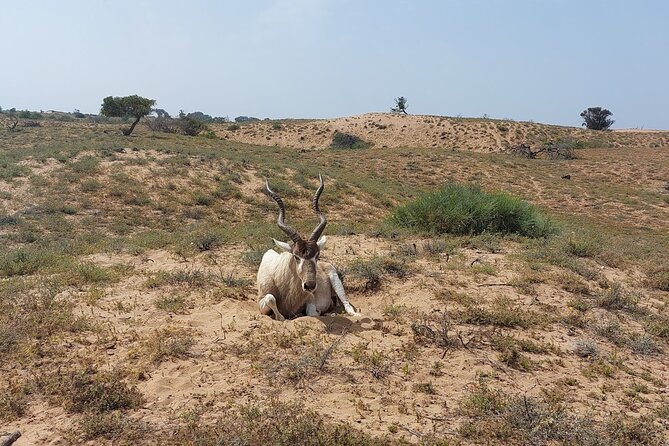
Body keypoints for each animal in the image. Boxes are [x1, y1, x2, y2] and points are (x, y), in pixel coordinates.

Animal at [258, 175, 360, 320]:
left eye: (317, 255)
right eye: (296, 256)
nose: (310, 285)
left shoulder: (311, 298)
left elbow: (311, 313)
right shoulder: (260, 299)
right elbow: (270, 298)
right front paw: (281, 317)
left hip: (336, 280)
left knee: (347, 304)